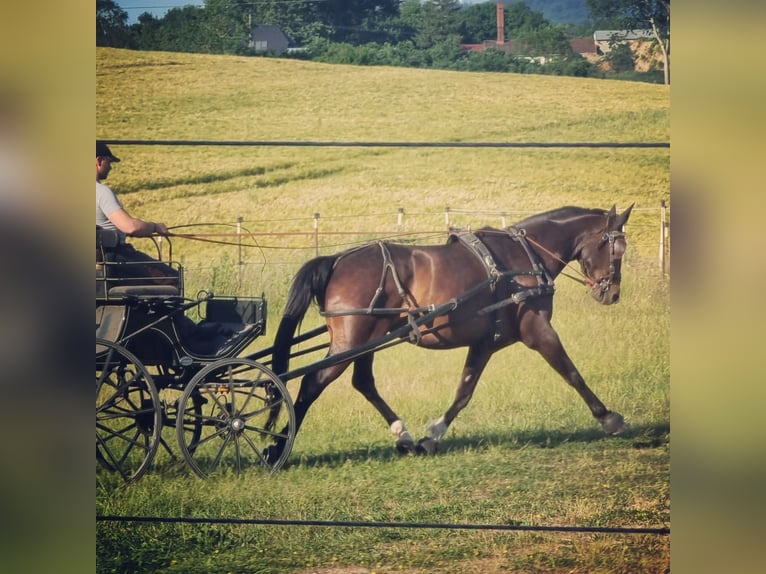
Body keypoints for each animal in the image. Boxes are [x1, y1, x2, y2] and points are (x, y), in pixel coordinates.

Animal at [270, 205, 636, 462]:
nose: (613, 294)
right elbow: (572, 373)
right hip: (352, 340)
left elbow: (464, 391)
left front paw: (431, 436)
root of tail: (337, 260)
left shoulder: (485, 342)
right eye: (618, 250)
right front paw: (609, 418)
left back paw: (402, 436)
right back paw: (277, 447)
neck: (524, 258)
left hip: (366, 340)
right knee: (312, 383)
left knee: (362, 382)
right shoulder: (538, 330)